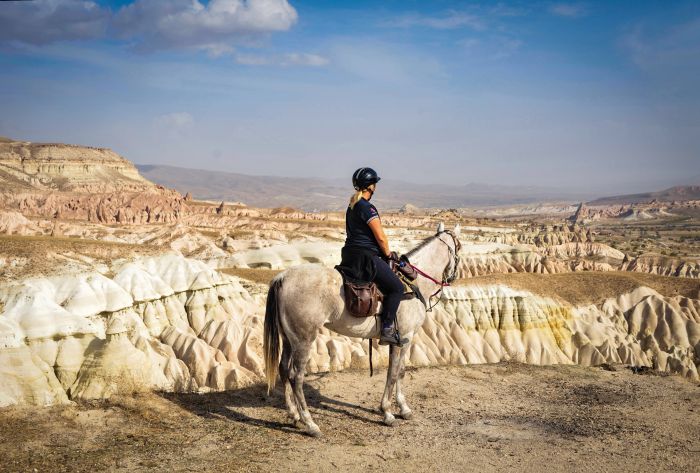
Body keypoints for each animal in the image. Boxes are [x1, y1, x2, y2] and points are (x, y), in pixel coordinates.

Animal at [262, 223, 460, 434]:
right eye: (459, 247)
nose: (453, 276)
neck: (414, 286)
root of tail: (282, 277)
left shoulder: (400, 340)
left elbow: (398, 371)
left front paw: (402, 409)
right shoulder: (405, 338)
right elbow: (395, 373)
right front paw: (389, 412)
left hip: (289, 338)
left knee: (283, 369)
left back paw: (294, 415)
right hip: (303, 340)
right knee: (296, 376)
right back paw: (310, 423)